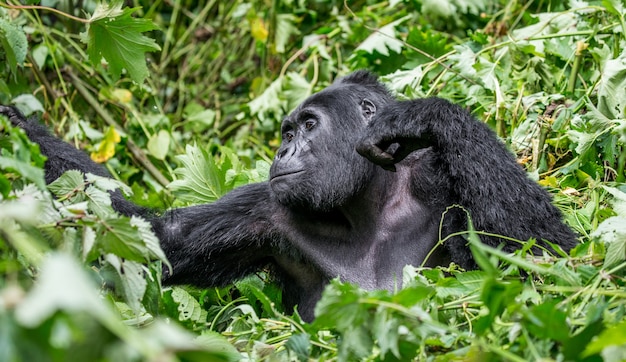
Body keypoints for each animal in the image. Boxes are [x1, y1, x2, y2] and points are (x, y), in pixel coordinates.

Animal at [0, 72, 576, 320]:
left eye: (308, 125)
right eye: (286, 131)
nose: (282, 151)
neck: (367, 202)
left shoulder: (436, 176)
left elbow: (549, 257)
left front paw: (426, 114)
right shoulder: (266, 210)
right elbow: (159, 240)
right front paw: (12, 121)